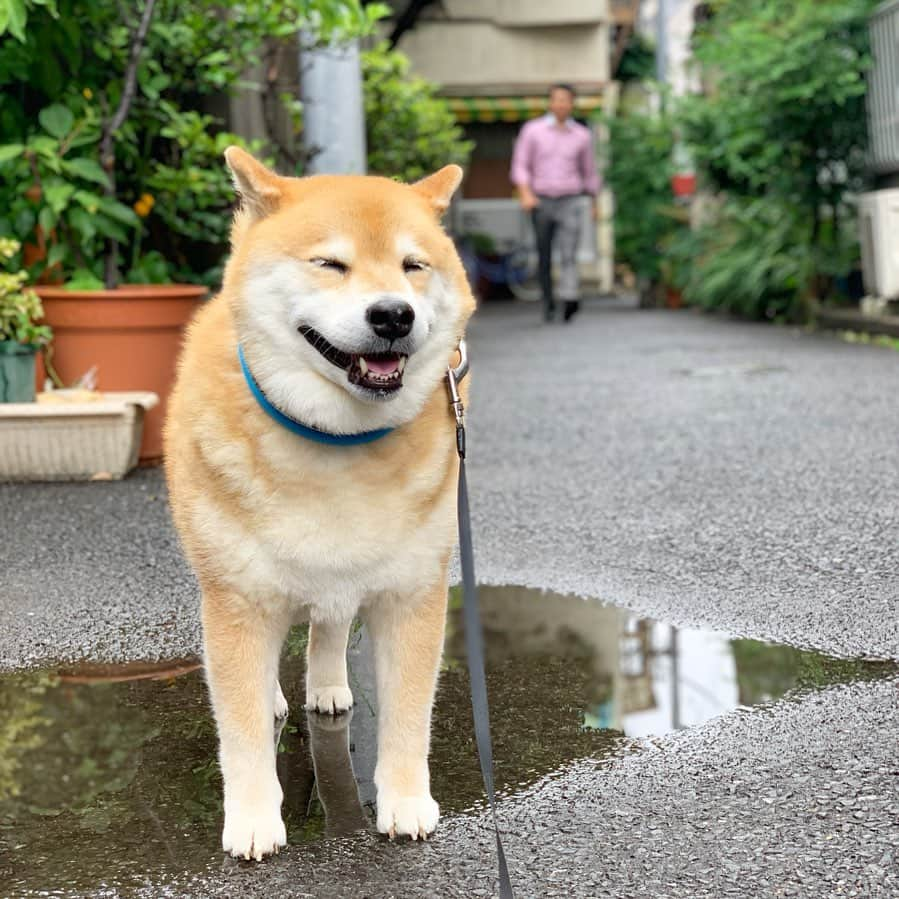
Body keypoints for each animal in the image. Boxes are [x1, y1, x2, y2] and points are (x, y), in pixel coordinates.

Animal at [169, 148, 478, 856]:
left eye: (413, 266)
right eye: (330, 264)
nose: (393, 315)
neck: (335, 442)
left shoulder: (412, 594)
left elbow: (409, 715)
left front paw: (405, 801)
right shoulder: (236, 601)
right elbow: (241, 730)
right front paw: (254, 817)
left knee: (328, 630)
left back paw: (330, 688)